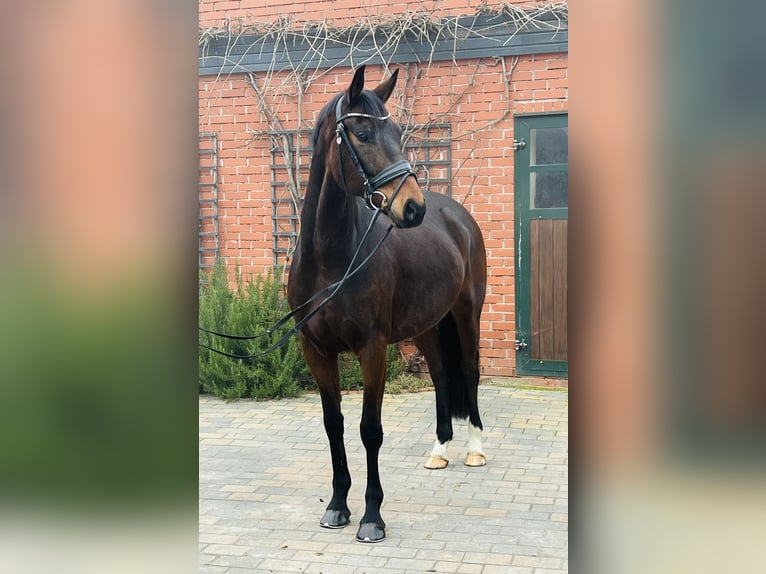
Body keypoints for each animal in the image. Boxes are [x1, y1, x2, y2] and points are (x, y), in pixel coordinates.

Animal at [288, 66, 486, 544]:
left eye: (396, 132)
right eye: (361, 134)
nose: (413, 208)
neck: (331, 261)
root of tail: (456, 215)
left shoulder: (372, 349)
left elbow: (370, 430)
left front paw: (372, 517)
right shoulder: (316, 351)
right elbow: (334, 425)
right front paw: (337, 506)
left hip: (467, 314)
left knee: (469, 372)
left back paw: (474, 449)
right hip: (428, 325)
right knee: (441, 376)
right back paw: (439, 450)